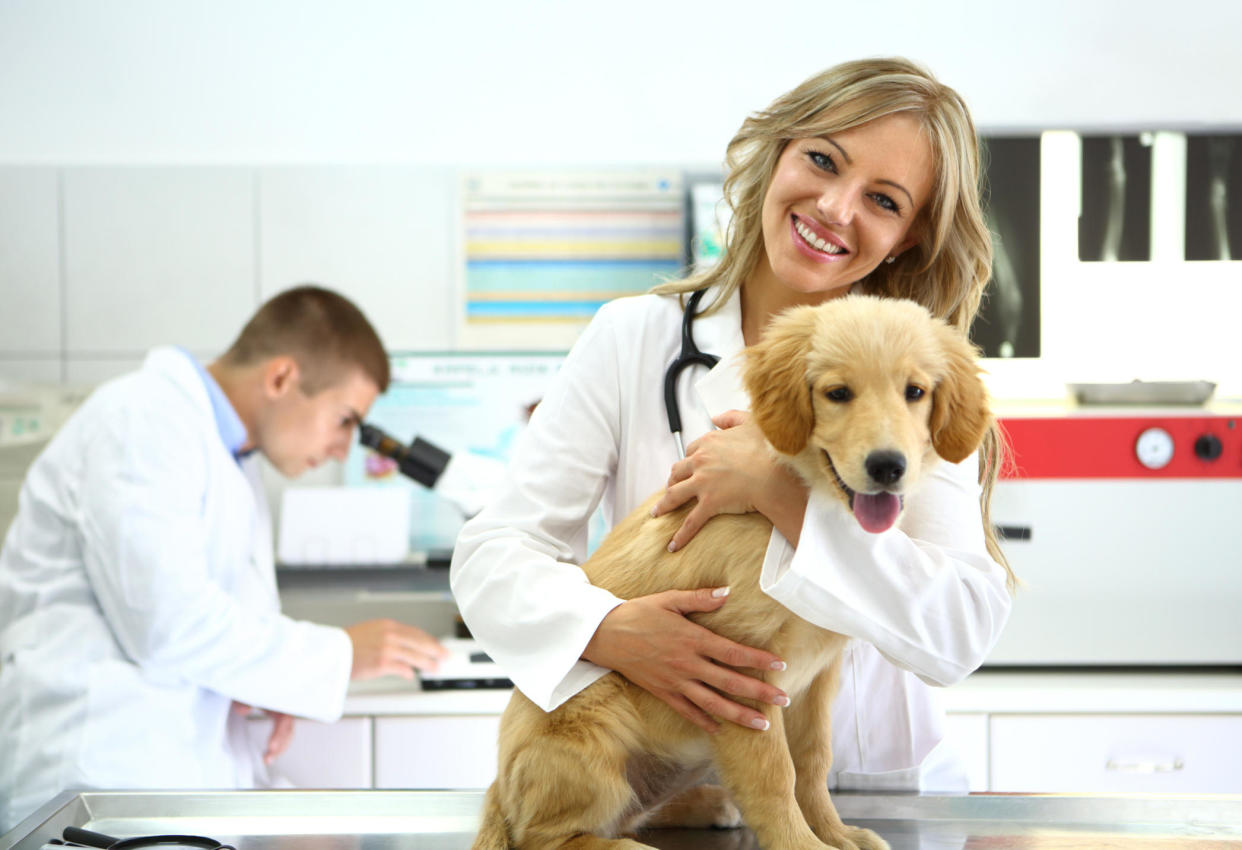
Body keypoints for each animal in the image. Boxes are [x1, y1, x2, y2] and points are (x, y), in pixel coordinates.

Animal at [471, 293, 988, 850]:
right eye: (838, 393)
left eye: (915, 392)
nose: (888, 466)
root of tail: (497, 791)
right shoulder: (741, 668)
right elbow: (774, 774)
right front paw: (804, 844)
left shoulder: (817, 679)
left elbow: (812, 762)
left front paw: (836, 832)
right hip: (592, 725)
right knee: (544, 835)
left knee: (633, 808)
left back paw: (704, 804)